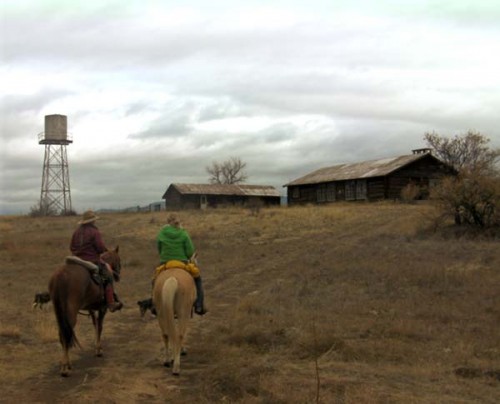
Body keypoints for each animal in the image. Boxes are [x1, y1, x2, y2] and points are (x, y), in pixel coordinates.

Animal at [48, 246, 122, 376]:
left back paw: (66, 364)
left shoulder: (91, 308)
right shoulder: (103, 308)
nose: (117, 275)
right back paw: (65, 367)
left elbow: (95, 325)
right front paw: (98, 350)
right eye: (119, 260)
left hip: (59, 313)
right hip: (71, 314)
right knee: (66, 334)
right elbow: (100, 327)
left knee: (62, 334)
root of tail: (60, 276)